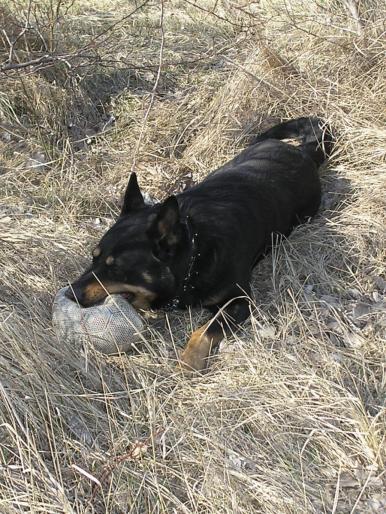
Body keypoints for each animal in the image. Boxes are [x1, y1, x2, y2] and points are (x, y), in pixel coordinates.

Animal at [68, 118, 334, 370]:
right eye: (94, 257)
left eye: (115, 268)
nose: (70, 294)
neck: (194, 255)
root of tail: (302, 151)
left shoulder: (238, 302)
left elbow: (203, 331)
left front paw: (189, 362)